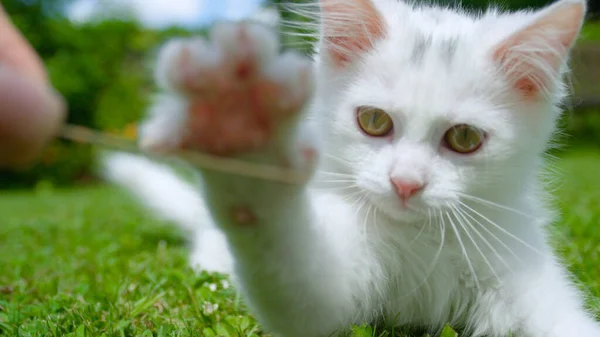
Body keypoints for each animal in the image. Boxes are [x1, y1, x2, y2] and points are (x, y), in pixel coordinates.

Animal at [101, 0, 596, 334]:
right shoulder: (334, 282)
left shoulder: (520, 266)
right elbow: (296, 278)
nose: (405, 184)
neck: (424, 238)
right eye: (374, 121)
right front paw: (243, 137)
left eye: (464, 139)